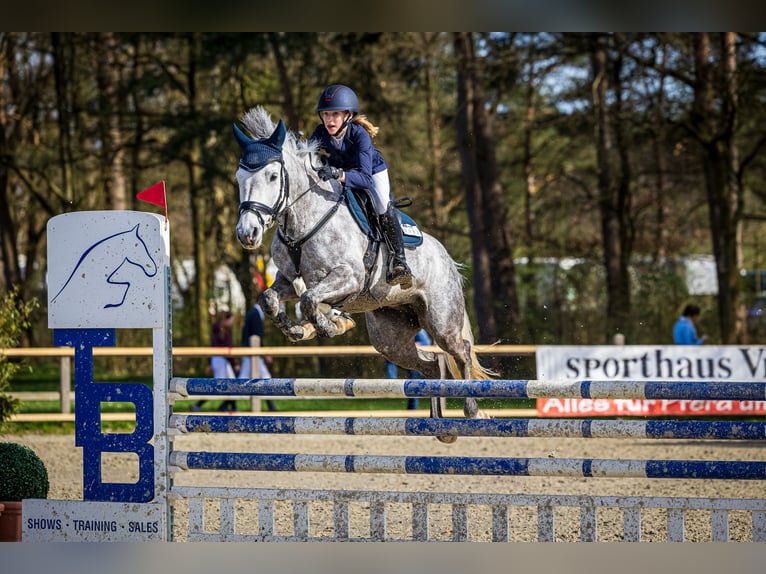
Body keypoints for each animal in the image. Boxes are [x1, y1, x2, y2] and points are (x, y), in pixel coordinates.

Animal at [234, 109, 496, 440]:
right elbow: (270, 298)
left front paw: (329, 326)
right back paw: (440, 425)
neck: (303, 219)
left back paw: (472, 411)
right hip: (390, 337)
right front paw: (298, 329)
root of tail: (447, 258)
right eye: (239, 178)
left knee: (460, 350)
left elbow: (309, 300)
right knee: (430, 363)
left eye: (271, 176)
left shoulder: (349, 277)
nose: (247, 234)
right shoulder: (288, 280)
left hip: (441, 319)